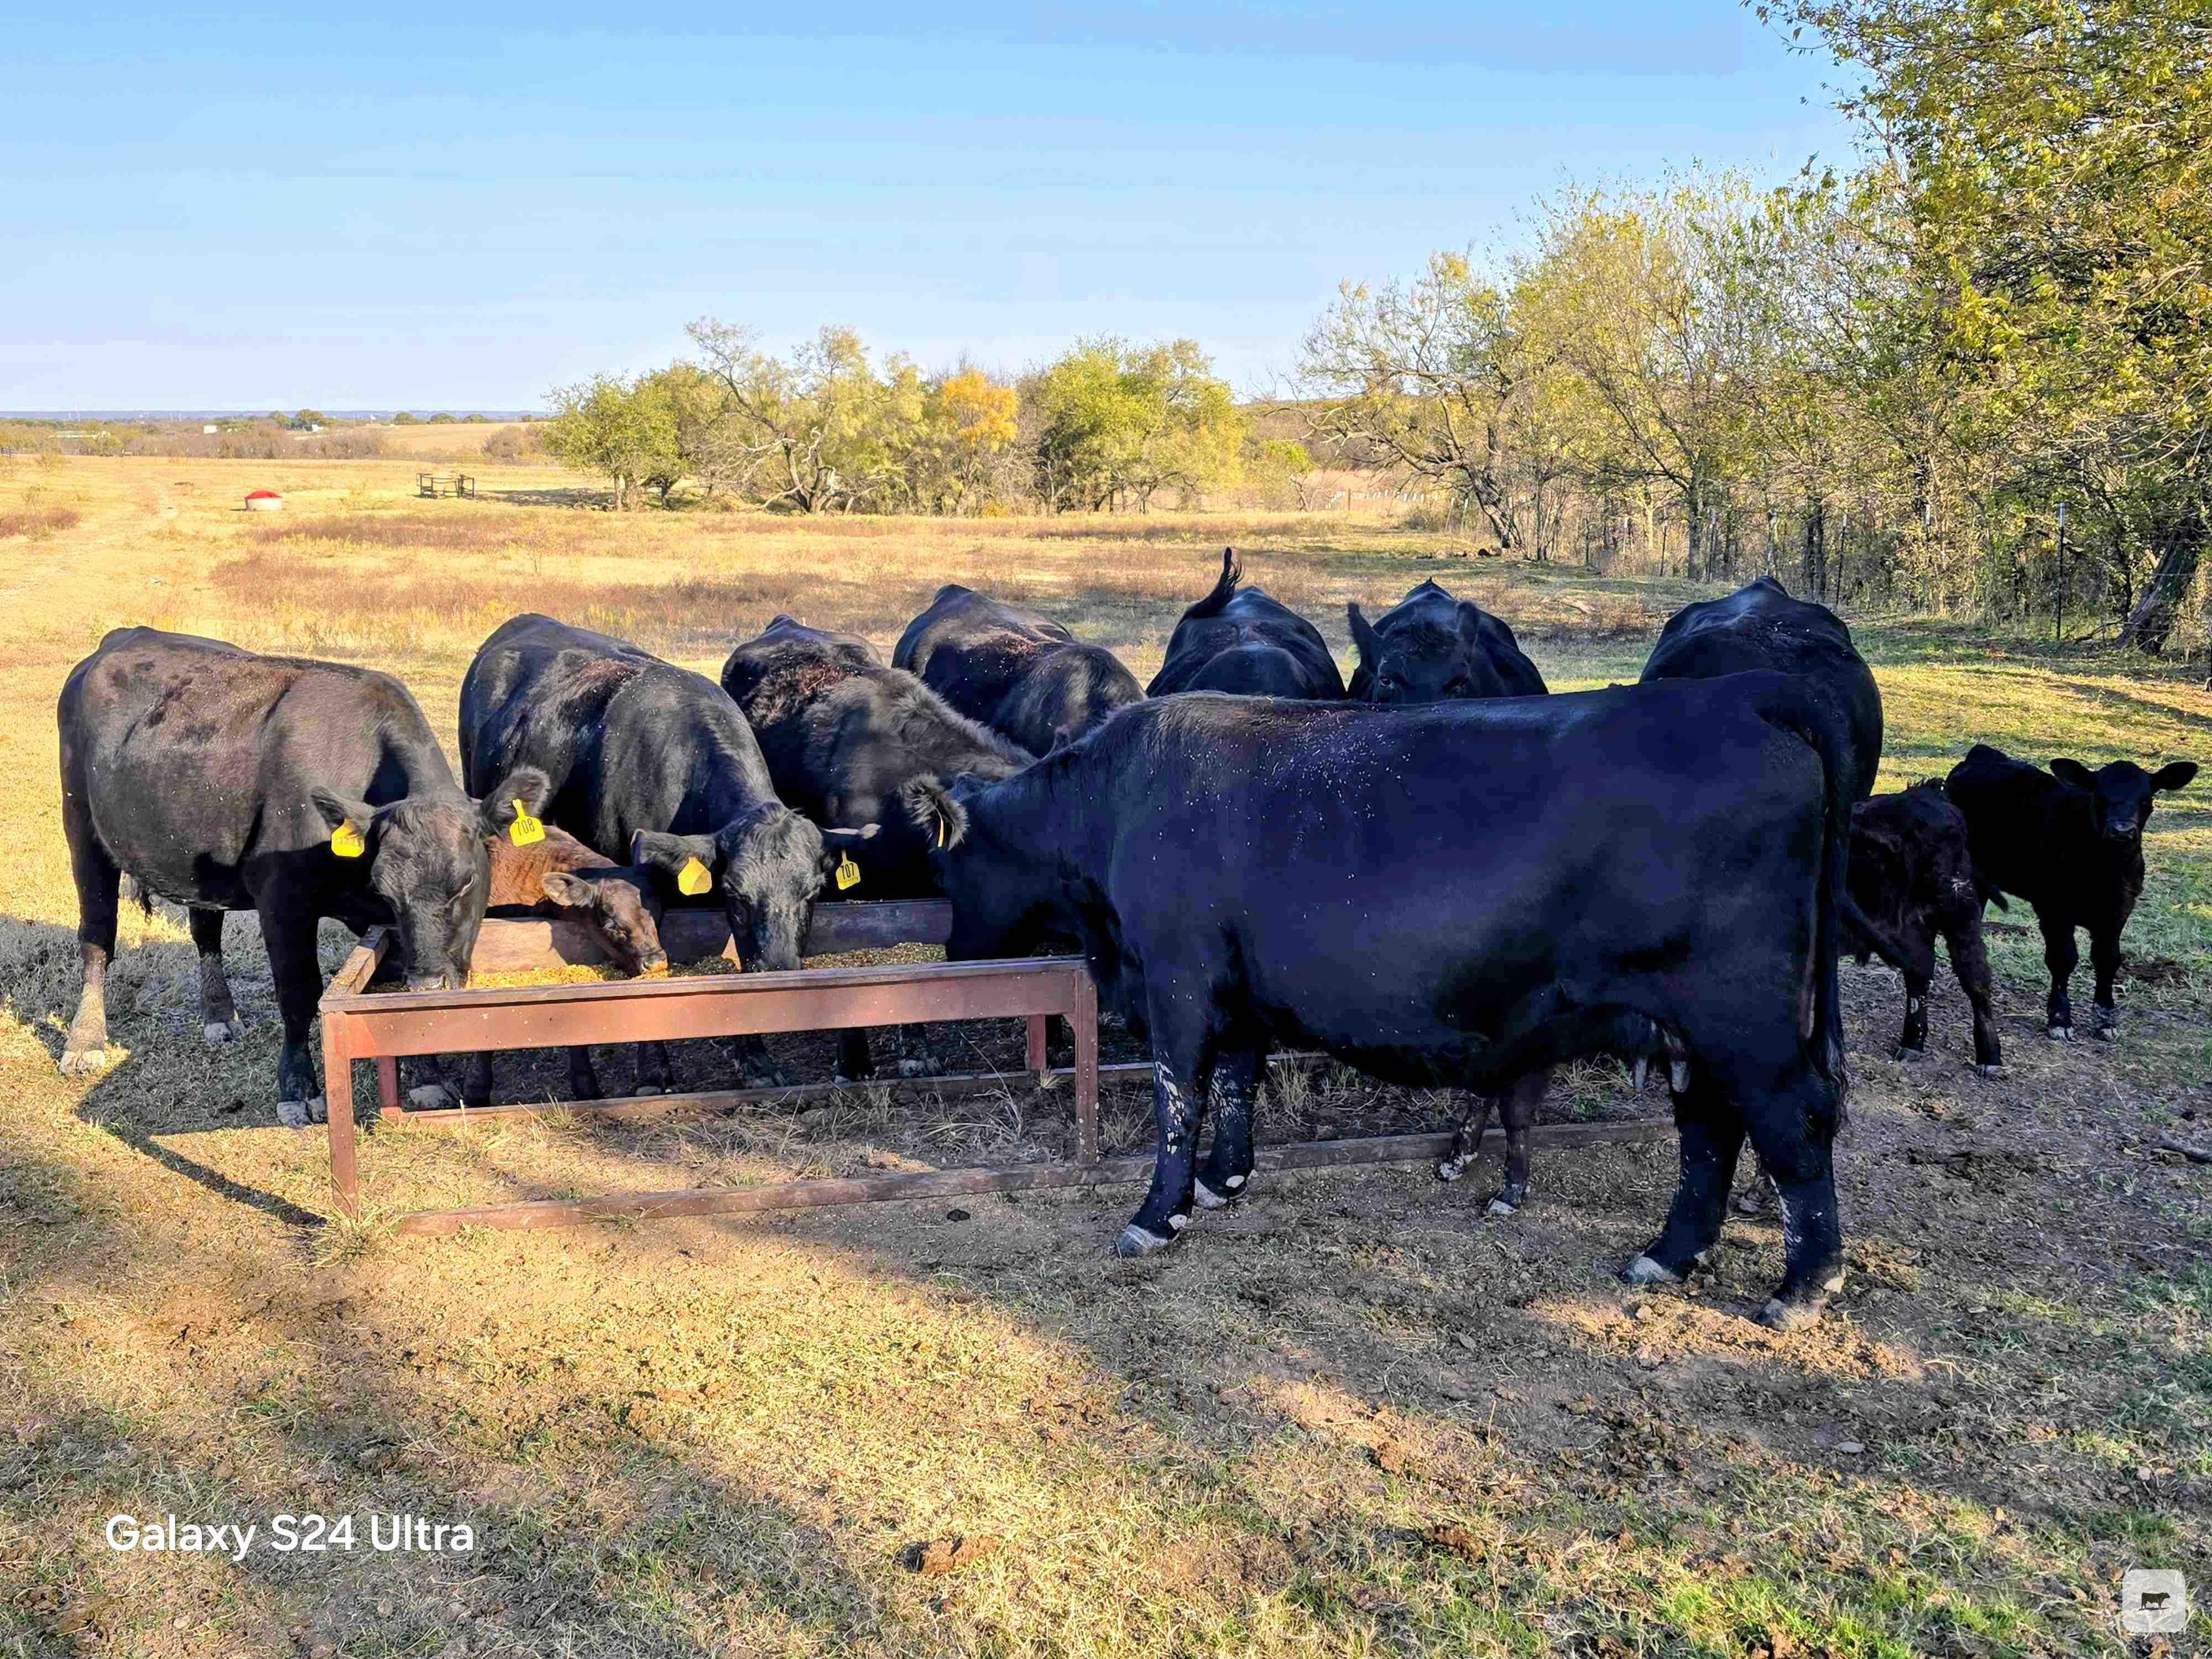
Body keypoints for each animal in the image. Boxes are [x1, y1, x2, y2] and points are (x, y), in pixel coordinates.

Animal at [56, 627, 526, 1126]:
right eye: (386, 889)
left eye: (467, 882)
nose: (432, 984)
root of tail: (124, 636)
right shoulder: (283, 900)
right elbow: (298, 993)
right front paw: (299, 1089)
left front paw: (427, 1075)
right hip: (82, 828)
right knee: (97, 936)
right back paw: (85, 1040)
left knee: (206, 931)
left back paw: (219, 1015)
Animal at [918, 677, 1860, 1329]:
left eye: (947, 862)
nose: (950, 951)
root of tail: (1743, 700)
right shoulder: (1239, 991)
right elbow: (1237, 1082)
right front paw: (1227, 1178)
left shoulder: (1179, 983)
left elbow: (1179, 1098)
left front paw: (1159, 1214)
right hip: (1689, 1027)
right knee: (1710, 1127)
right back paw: (1669, 1254)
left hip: (1743, 1018)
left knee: (1793, 1121)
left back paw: (1804, 1287)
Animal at [1842, 782, 2002, 1075]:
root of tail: (1926, 792)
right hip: (1910, 927)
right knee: (1920, 971)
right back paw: (1912, 1043)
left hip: (1959, 911)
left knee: (1976, 978)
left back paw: (1990, 1057)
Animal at [1945, 744, 2197, 1041]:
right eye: (2099, 796)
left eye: (2147, 798)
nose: (2122, 830)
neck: (2104, 871)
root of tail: (1983, 752)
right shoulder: (2054, 908)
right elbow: (2063, 958)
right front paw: (2060, 1018)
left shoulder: (2119, 910)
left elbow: (2108, 959)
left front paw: (2105, 1019)